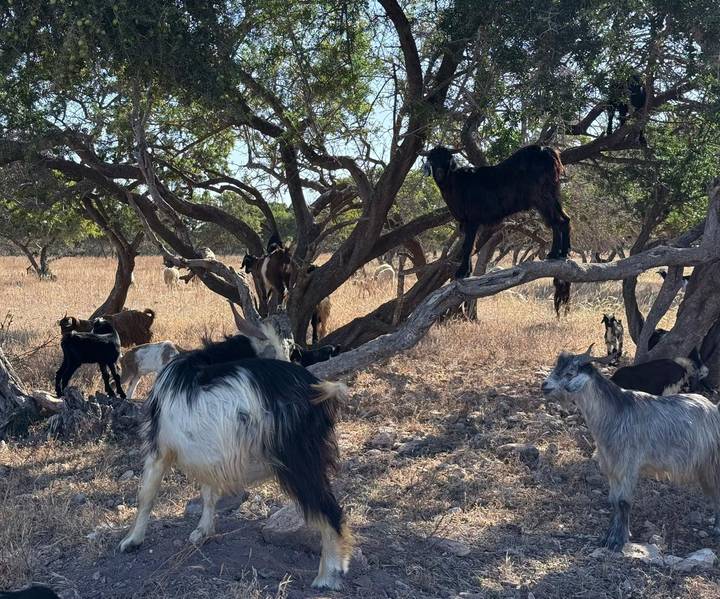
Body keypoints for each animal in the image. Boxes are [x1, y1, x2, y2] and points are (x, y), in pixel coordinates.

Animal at [119, 326, 351, 589]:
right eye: (296, 351)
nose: (332, 350)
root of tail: (317, 390)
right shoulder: (208, 452)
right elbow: (208, 493)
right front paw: (203, 530)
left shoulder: (158, 450)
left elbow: (146, 496)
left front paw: (132, 541)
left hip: (299, 462)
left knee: (330, 511)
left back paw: (327, 577)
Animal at [421, 144, 568, 279]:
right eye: (432, 160)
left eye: (447, 159)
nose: (439, 173)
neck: (455, 181)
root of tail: (548, 151)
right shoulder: (464, 222)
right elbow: (468, 246)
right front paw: (467, 272)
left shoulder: (472, 219)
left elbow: (468, 246)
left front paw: (461, 273)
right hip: (553, 195)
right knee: (565, 219)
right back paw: (563, 253)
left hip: (542, 197)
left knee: (556, 221)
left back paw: (554, 254)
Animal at [542, 347, 720, 551]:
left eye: (570, 373)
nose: (544, 385)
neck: (614, 414)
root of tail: (714, 409)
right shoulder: (611, 467)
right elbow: (614, 502)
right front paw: (609, 537)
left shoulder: (628, 465)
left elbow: (623, 502)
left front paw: (619, 541)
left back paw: (717, 528)